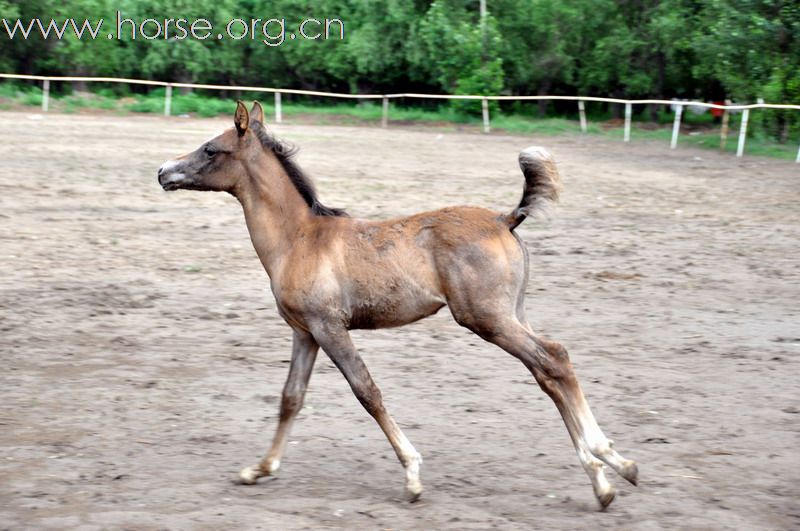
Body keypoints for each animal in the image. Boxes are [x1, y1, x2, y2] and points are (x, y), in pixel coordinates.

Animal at [159, 102, 640, 510]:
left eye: (210, 148)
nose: (163, 171)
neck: (299, 239)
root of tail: (506, 218)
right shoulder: (305, 331)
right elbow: (291, 398)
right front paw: (258, 470)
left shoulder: (329, 327)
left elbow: (367, 391)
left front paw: (412, 476)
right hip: (511, 314)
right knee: (550, 368)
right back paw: (605, 473)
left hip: (488, 319)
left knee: (552, 359)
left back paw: (610, 467)